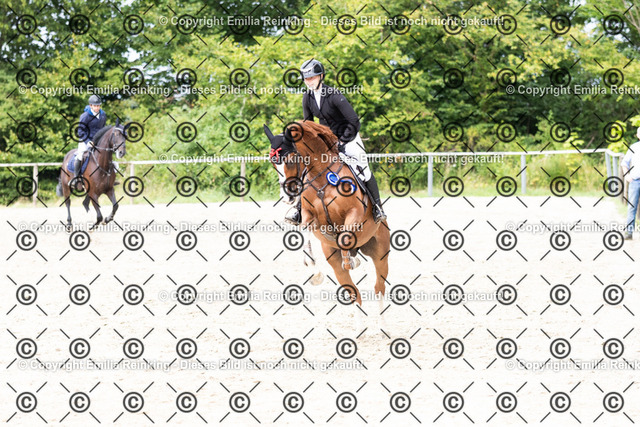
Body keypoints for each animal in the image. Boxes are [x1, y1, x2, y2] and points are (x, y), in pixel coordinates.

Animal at [264, 121, 391, 317]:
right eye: (272, 162)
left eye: (291, 159)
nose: (287, 197)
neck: (321, 174)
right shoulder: (309, 217)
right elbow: (305, 237)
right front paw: (314, 272)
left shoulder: (355, 213)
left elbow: (344, 237)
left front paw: (350, 260)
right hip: (335, 262)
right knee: (355, 295)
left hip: (381, 254)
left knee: (379, 288)